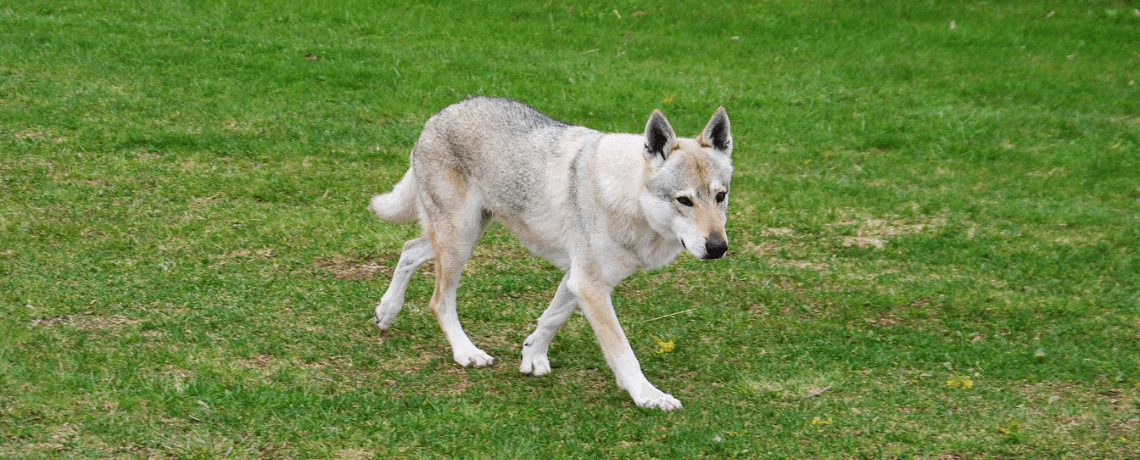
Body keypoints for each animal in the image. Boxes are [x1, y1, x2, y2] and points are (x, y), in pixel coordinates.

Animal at [369, 96, 734, 409]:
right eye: (684, 200)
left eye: (721, 196)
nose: (718, 248)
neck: (631, 198)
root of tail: (437, 116)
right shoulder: (590, 286)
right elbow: (622, 350)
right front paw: (648, 396)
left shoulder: (578, 279)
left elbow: (552, 318)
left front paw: (532, 357)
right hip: (459, 239)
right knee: (439, 300)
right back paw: (465, 352)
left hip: (464, 235)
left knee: (409, 250)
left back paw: (386, 312)